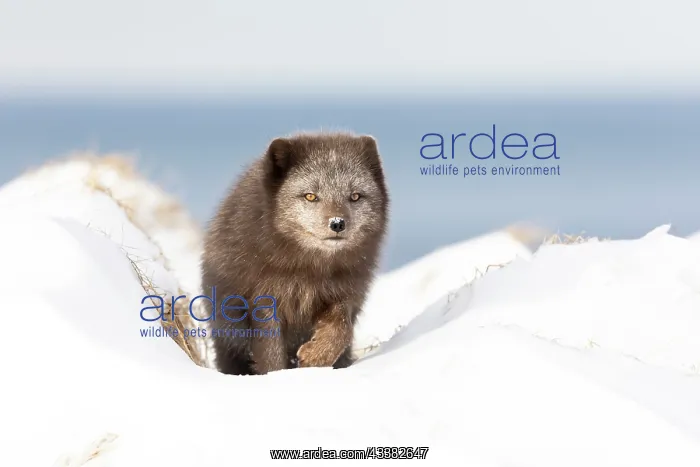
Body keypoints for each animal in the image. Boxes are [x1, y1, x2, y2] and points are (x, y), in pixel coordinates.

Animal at [201, 131, 389, 375]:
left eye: (355, 196)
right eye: (310, 196)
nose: (337, 223)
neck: (309, 273)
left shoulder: (345, 292)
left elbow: (342, 327)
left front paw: (316, 357)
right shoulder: (264, 299)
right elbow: (270, 354)